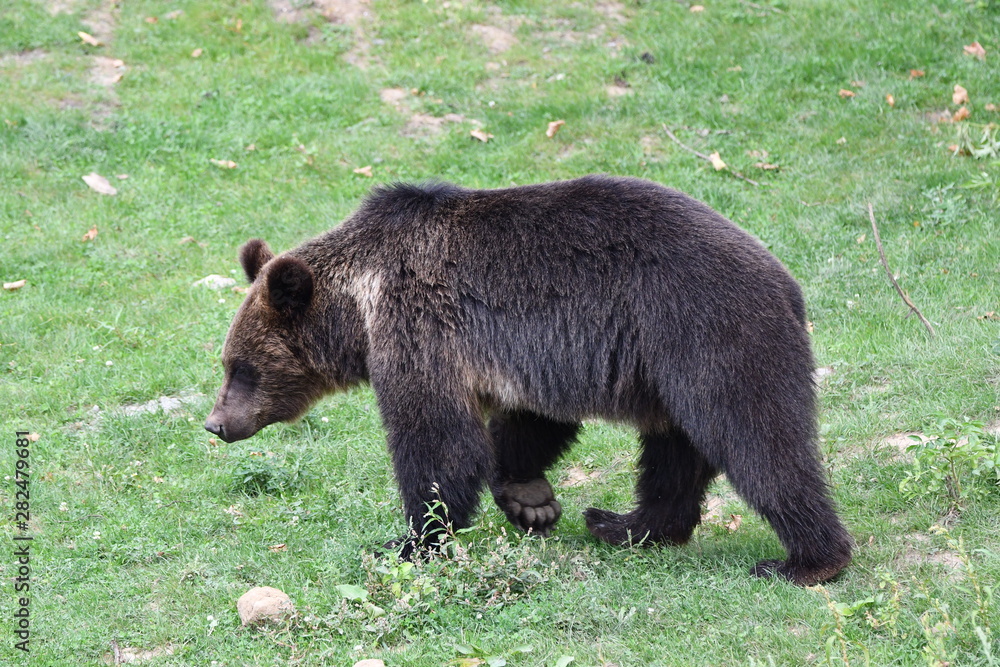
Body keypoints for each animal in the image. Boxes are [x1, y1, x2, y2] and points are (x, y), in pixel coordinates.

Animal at [203, 176, 852, 584]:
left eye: (243, 366)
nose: (216, 423)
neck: (359, 307)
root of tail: (787, 283)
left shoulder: (420, 330)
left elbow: (438, 443)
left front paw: (410, 541)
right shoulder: (531, 352)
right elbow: (529, 424)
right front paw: (530, 500)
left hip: (704, 333)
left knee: (757, 440)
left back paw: (805, 560)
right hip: (663, 369)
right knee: (673, 454)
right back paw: (623, 524)